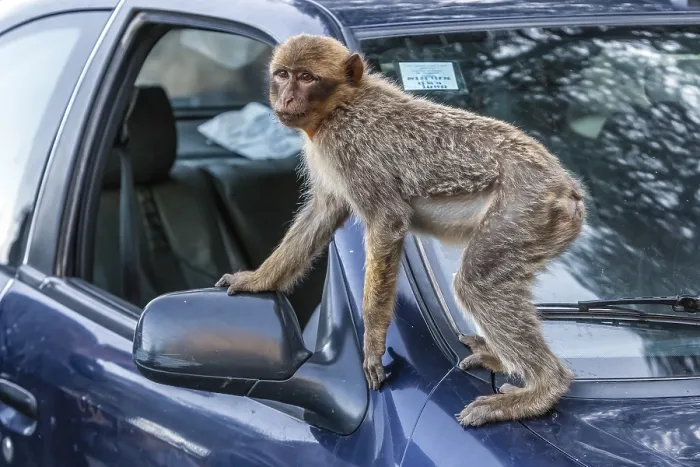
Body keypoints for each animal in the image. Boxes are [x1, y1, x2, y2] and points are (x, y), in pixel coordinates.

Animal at [215, 33, 585, 427]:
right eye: (283, 74)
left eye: (307, 77)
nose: (285, 98)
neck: (340, 106)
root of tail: (568, 191)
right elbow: (324, 213)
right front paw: (259, 280)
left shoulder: (349, 148)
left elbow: (387, 221)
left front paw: (372, 345)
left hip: (524, 210)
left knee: (477, 284)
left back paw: (541, 390)